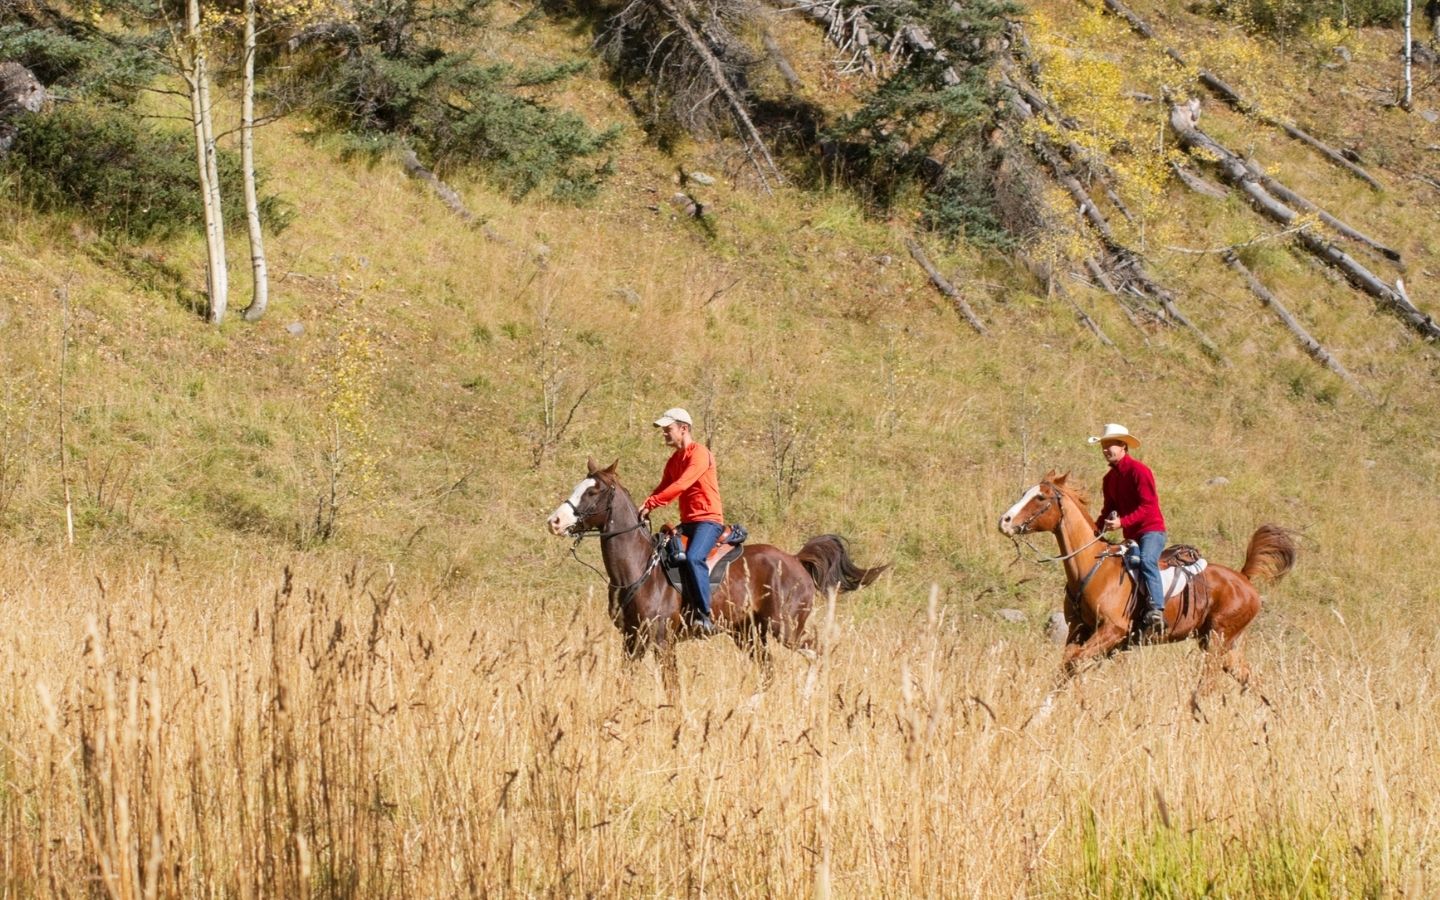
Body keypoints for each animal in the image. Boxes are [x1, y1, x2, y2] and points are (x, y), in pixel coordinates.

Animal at [544, 460, 881, 685]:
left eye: (594, 491)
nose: (554, 522)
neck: (639, 569)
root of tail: (796, 560)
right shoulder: (631, 640)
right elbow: (624, 682)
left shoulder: (662, 642)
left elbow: (671, 688)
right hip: (748, 633)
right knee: (769, 671)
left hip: (785, 628)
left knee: (816, 654)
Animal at [1002, 469, 1296, 679]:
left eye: (1040, 497)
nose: (1004, 521)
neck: (1093, 567)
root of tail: (1244, 578)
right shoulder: (1079, 629)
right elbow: (1066, 666)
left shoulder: (1113, 630)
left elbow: (1074, 663)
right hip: (1224, 644)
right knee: (1248, 678)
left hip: (1217, 641)